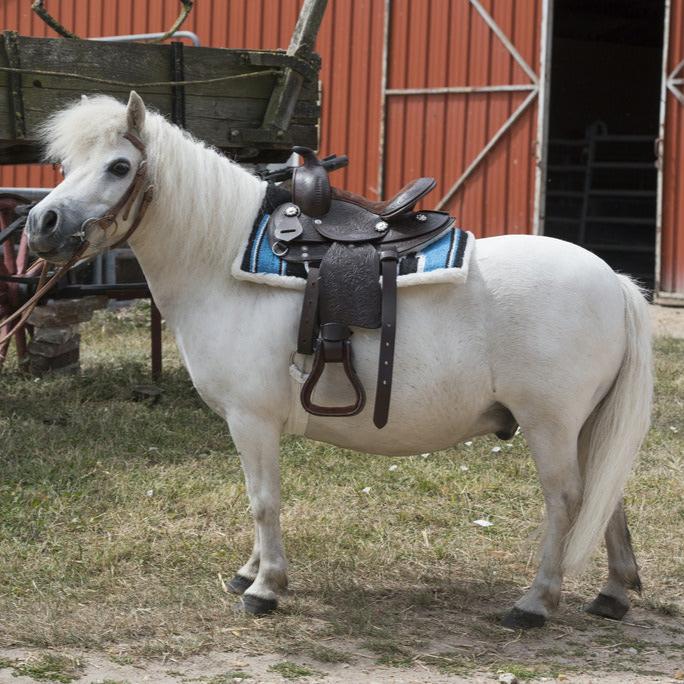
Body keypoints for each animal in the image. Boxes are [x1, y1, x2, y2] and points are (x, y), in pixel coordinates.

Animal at [24, 93, 652, 628]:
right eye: (65, 164)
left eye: (119, 167)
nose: (40, 224)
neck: (222, 262)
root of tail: (615, 281)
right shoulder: (248, 426)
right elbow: (257, 499)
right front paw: (249, 572)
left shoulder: (252, 420)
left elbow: (263, 501)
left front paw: (266, 588)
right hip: (585, 424)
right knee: (607, 494)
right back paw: (613, 593)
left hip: (551, 423)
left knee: (567, 500)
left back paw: (535, 601)